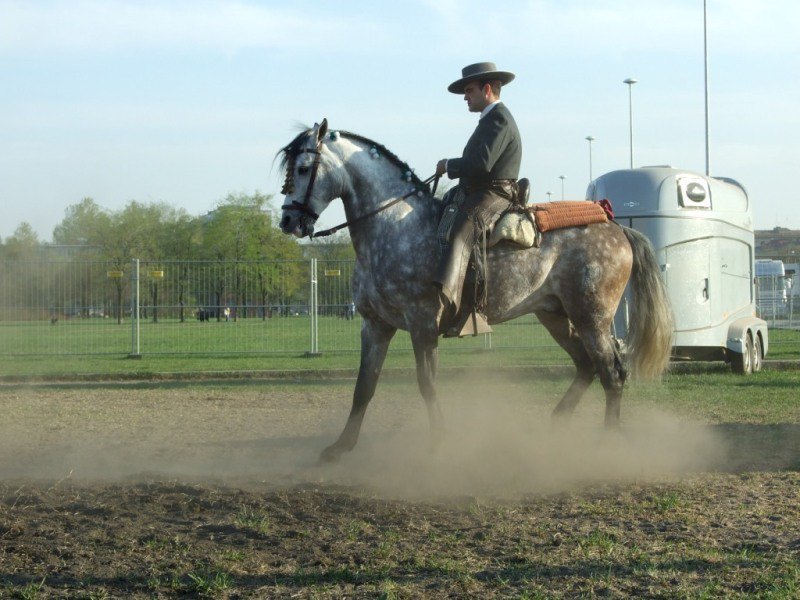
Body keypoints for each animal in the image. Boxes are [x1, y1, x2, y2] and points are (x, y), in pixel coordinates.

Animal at [282, 119, 676, 462]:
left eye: (303, 168)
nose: (288, 221)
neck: (394, 228)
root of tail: (617, 228)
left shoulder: (423, 324)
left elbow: (427, 385)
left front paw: (438, 444)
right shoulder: (375, 325)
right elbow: (364, 387)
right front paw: (340, 447)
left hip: (592, 318)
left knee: (612, 373)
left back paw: (605, 444)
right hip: (554, 315)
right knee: (586, 366)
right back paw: (555, 426)